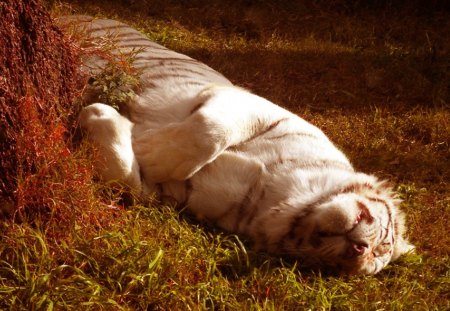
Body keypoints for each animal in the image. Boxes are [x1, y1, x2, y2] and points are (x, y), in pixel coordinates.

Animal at [61, 16, 414, 276]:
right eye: (381, 239)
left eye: (341, 268)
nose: (358, 250)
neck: (282, 196)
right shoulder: (250, 104)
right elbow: (211, 130)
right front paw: (149, 148)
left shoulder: (173, 193)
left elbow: (127, 179)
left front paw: (104, 117)